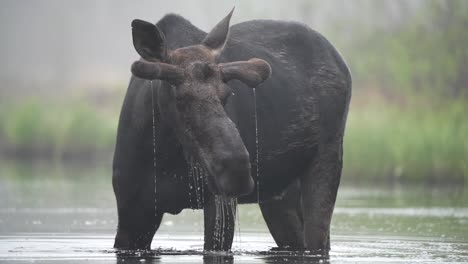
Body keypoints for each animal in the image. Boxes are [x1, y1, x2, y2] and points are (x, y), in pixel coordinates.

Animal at [113, 8, 352, 254]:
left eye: (227, 95)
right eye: (179, 98)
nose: (236, 170)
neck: (164, 152)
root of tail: (342, 64)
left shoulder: (221, 204)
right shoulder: (131, 210)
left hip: (326, 160)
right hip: (279, 196)